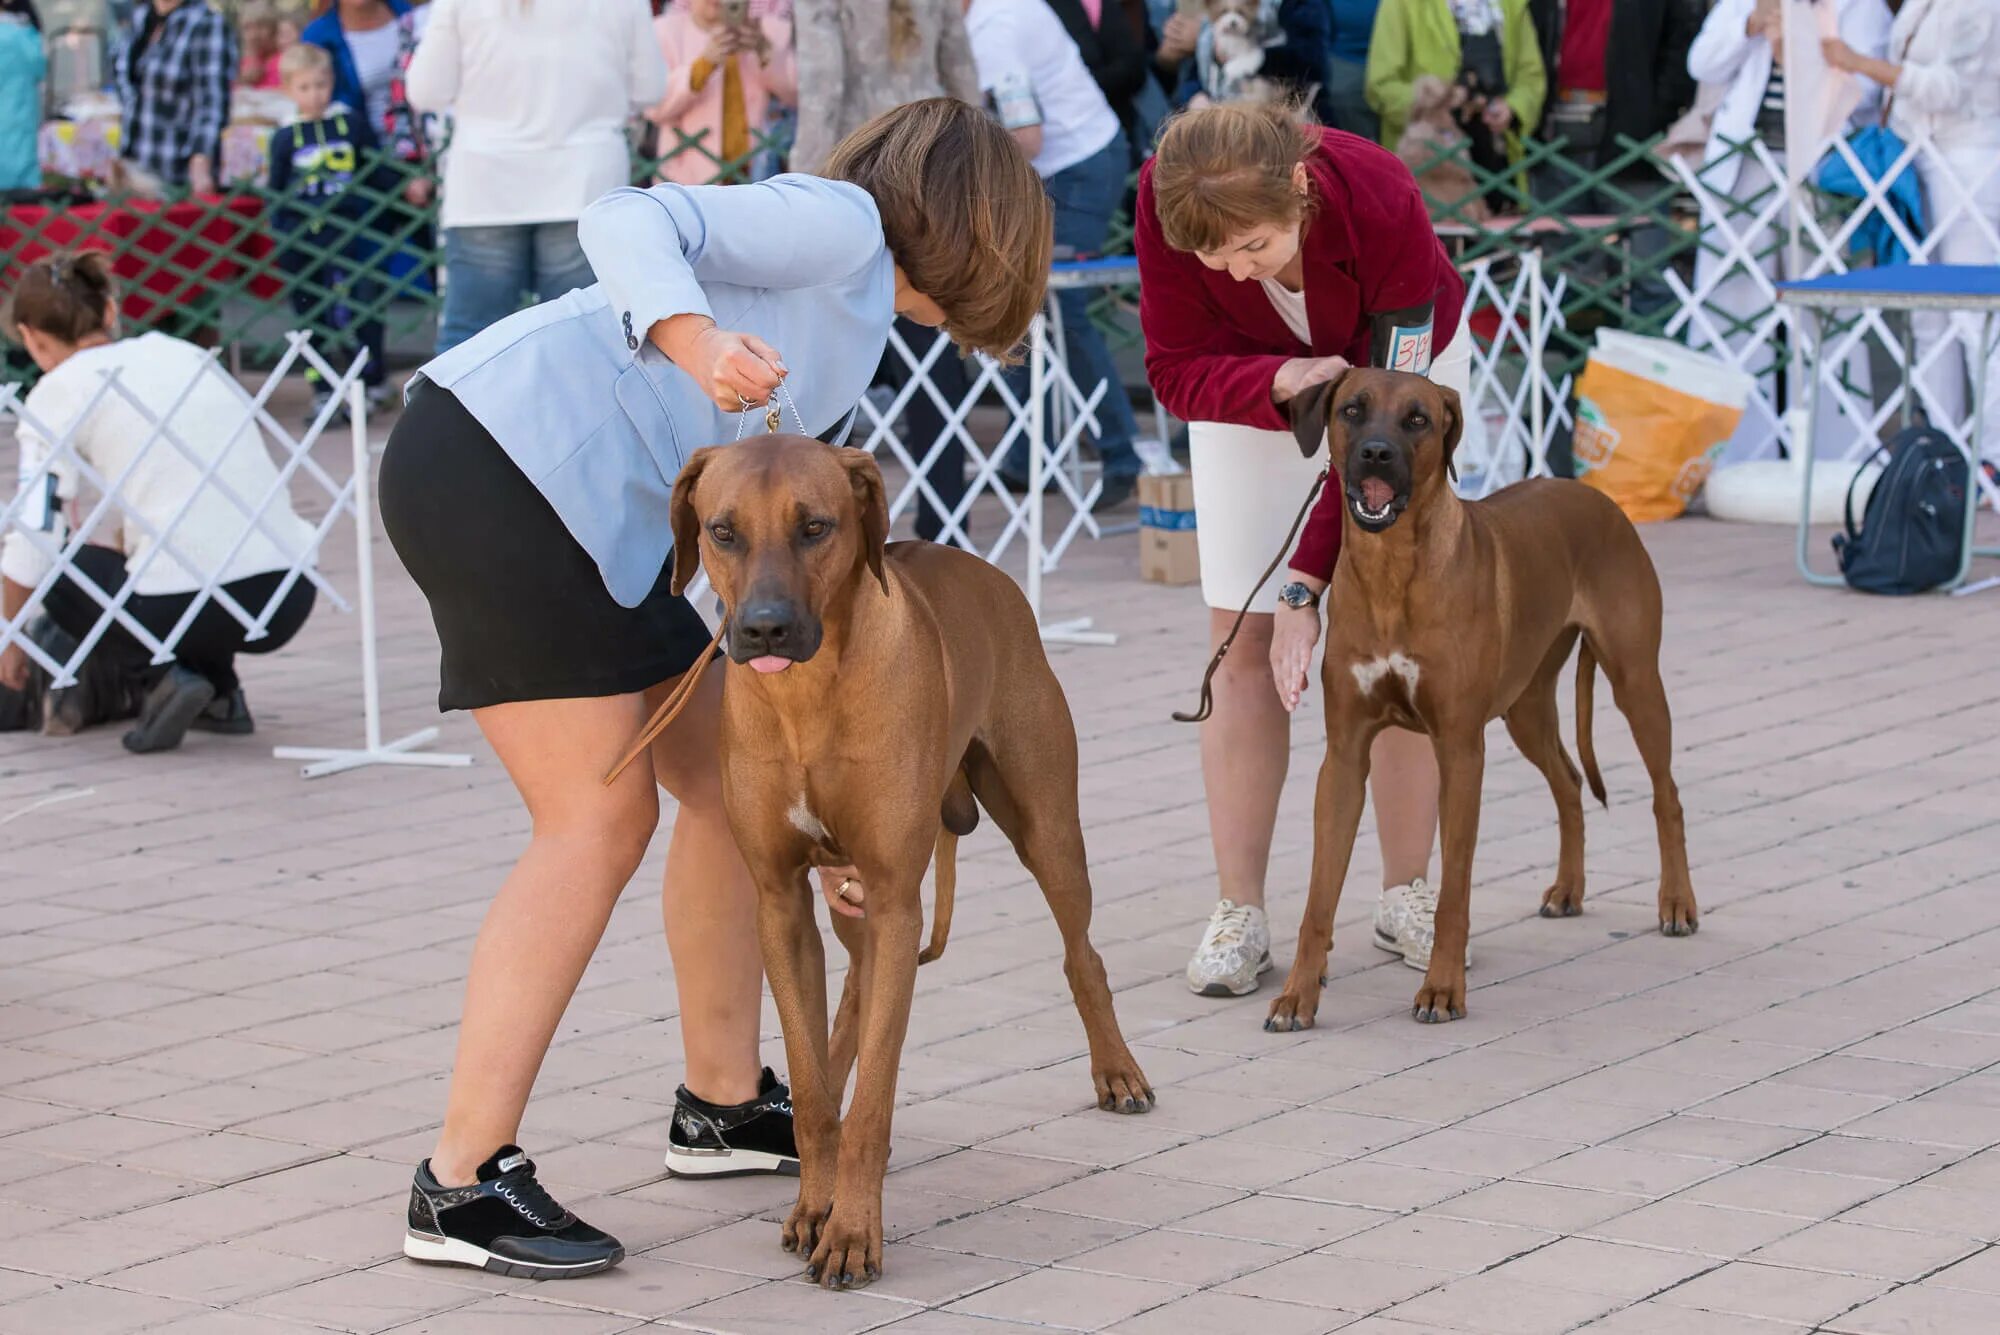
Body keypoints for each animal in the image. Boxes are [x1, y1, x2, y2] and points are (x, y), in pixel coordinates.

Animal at [1272, 365, 1696, 1031]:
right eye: (1352, 410)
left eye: (1418, 419)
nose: (1376, 453)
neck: (1392, 568)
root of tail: (1596, 496)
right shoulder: (1343, 757)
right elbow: (1319, 899)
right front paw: (1297, 995)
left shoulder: (1460, 751)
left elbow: (1454, 892)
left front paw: (1443, 989)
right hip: (1526, 703)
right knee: (1569, 782)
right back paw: (1569, 889)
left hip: (1634, 679)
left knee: (1666, 795)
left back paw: (1676, 902)